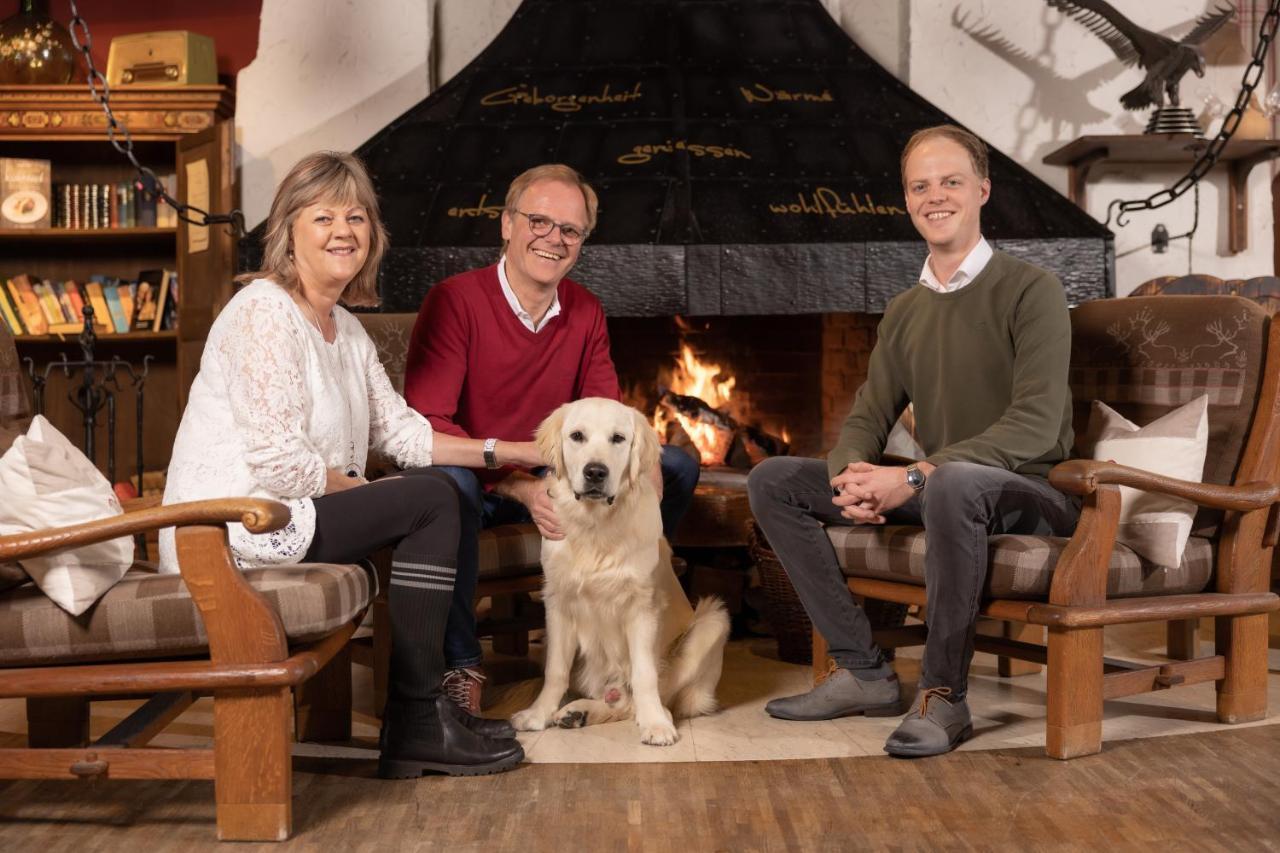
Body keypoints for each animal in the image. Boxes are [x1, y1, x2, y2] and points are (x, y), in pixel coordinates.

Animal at [509, 394, 732, 742]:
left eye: (618, 438)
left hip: (713, 621)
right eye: (577, 436)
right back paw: (578, 712)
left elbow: (644, 675)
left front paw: (655, 724)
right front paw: (537, 714)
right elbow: (555, 670)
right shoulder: (558, 602)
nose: (595, 472)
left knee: (648, 699)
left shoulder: (642, 607)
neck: (596, 526)